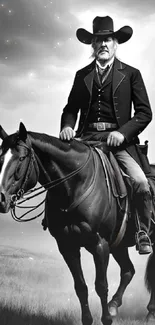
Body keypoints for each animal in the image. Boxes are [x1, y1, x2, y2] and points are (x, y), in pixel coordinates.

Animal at [0, 122, 155, 324]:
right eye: (0, 158)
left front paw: (106, 319)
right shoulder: (67, 246)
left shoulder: (100, 245)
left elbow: (101, 285)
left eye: (21, 158)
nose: (1, 199)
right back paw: (115, 306)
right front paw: (89, 319)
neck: (75, 186)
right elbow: (80, 287)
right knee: (128, 270)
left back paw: (149, 312)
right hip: (118, 245)